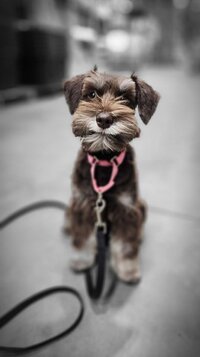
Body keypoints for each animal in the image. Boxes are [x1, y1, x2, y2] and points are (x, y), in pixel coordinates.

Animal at [63, 68, 160, 282]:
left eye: (125, 98)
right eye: (91, 94)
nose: (104, 119)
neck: (104, 160)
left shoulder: (126, 209)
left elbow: (125, 245)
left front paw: (128, 271)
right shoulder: (82, 205)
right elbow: (82, 238)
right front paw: (81, 261)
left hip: (142, 205)